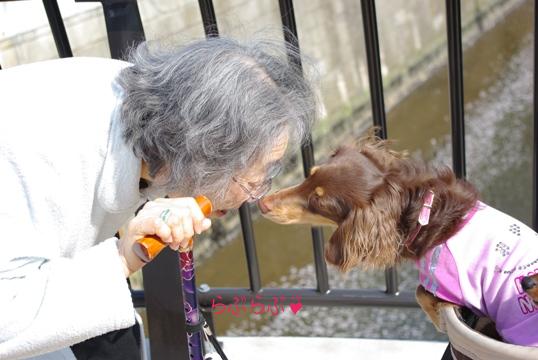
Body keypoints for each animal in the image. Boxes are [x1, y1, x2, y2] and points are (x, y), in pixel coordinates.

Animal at [258, 135, 532, 346]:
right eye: (310, 175)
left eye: (318, 202)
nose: (262, 203)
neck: (426, 216)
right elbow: (420, 292)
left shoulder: (452, 287)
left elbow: (421, 293)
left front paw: (438, 321)